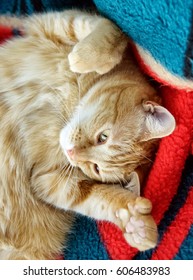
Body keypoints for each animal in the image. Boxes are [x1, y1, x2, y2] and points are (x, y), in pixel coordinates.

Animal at [0, 10, 176, 260]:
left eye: (96, 169)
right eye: (103, 137)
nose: (72, 153)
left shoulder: (48, 180)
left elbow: (95, 197)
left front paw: (132, 220)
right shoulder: (51, 23)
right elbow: (112, 29)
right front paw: (87, 57)